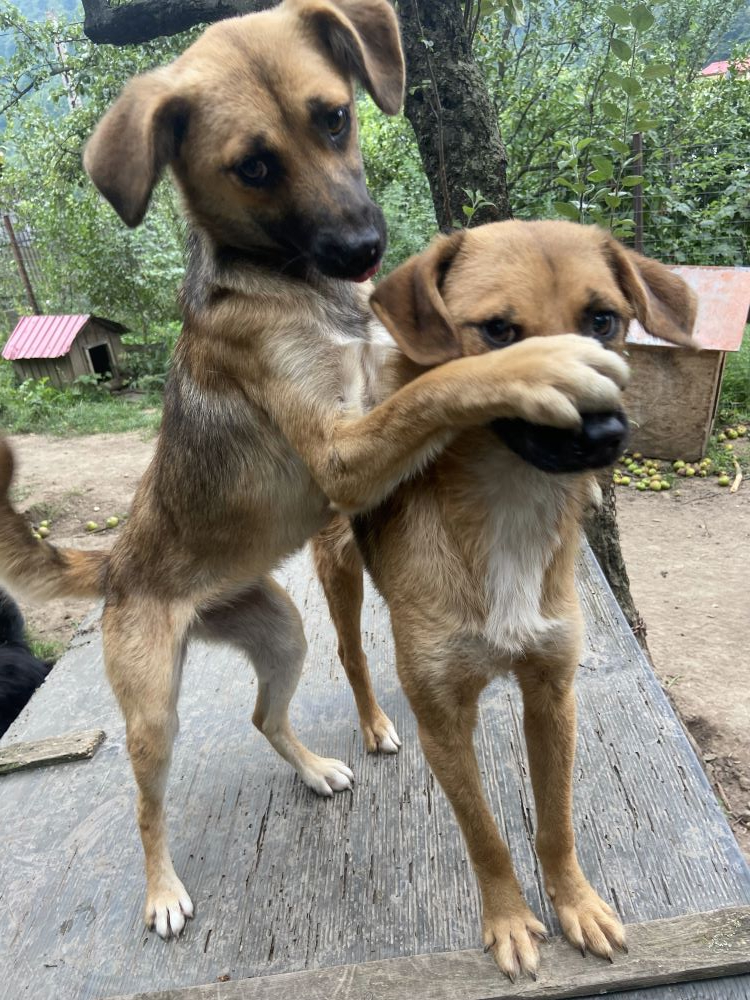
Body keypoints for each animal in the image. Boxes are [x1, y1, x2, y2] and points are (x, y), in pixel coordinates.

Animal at [318, 223, 700, 980]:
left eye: (603, 320)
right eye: (498, 331)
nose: (606, 434)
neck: (508, 500)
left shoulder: (552, 692)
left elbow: (555, 822)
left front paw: (575, 903)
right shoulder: (442, 719)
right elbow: (485, 833)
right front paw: (510, 921)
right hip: (336, 570)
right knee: (351, 654)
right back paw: (375, 724)